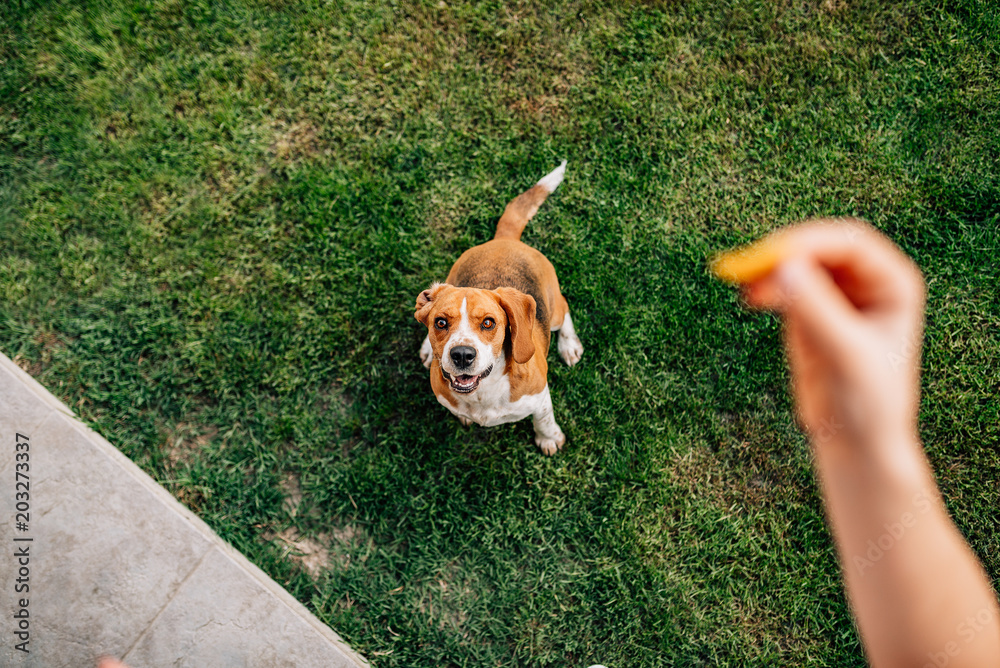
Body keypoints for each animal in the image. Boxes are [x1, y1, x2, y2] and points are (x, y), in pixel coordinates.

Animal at [416, 161, 584, 454]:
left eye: (488, 323)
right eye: (440, 322)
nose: (462, 355)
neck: (483, 392)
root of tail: (504, 239)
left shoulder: (540, 395)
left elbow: (544, 419)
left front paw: (548, 439)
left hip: (554, 311)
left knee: (564, 313)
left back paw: (569, 345)